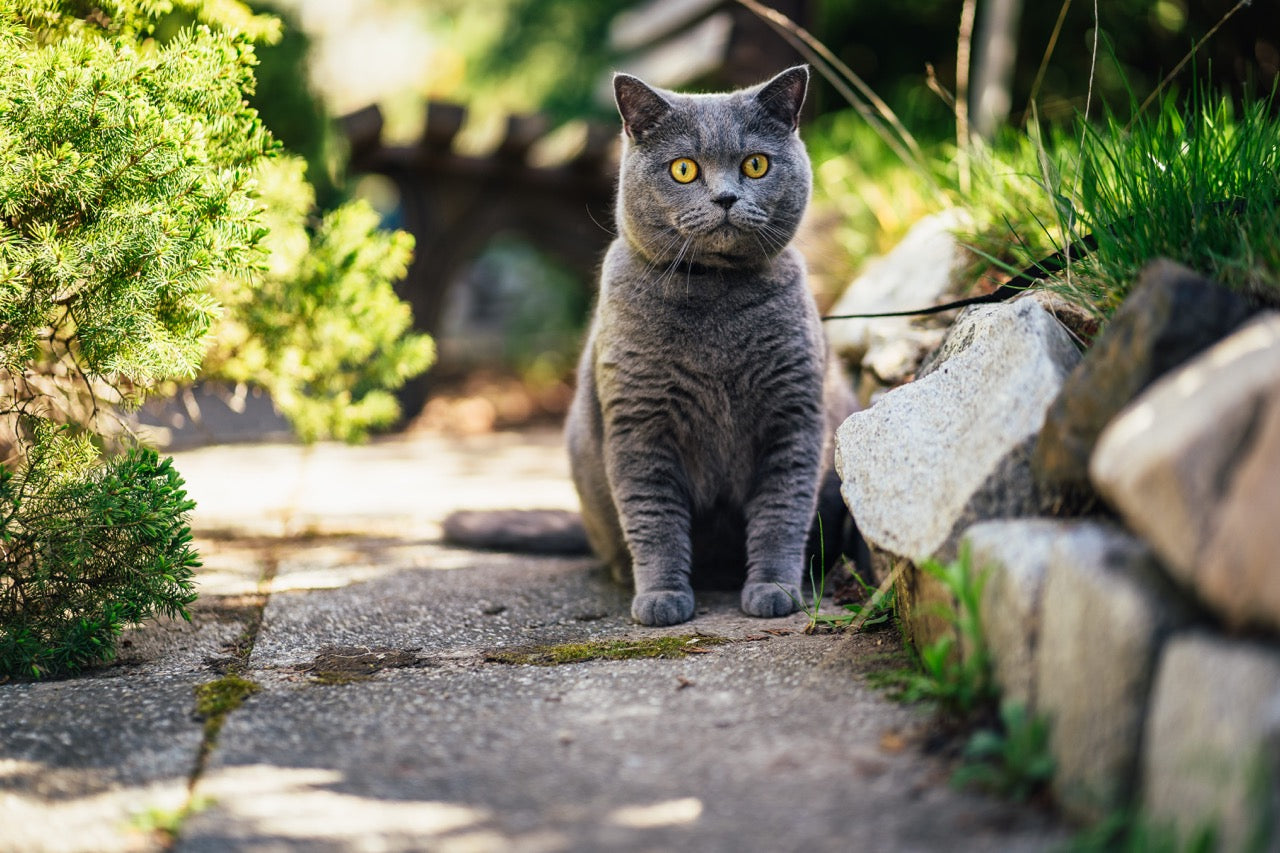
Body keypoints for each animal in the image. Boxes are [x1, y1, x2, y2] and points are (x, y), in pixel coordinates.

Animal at [565, 66, 865, 625]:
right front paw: (662, 597)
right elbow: (654, 519)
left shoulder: (793, 418)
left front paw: (774, 590)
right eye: (683, 169)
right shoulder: (639, 425)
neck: (715, 295)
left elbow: (781, 513)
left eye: (755, 164)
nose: (726, 198)